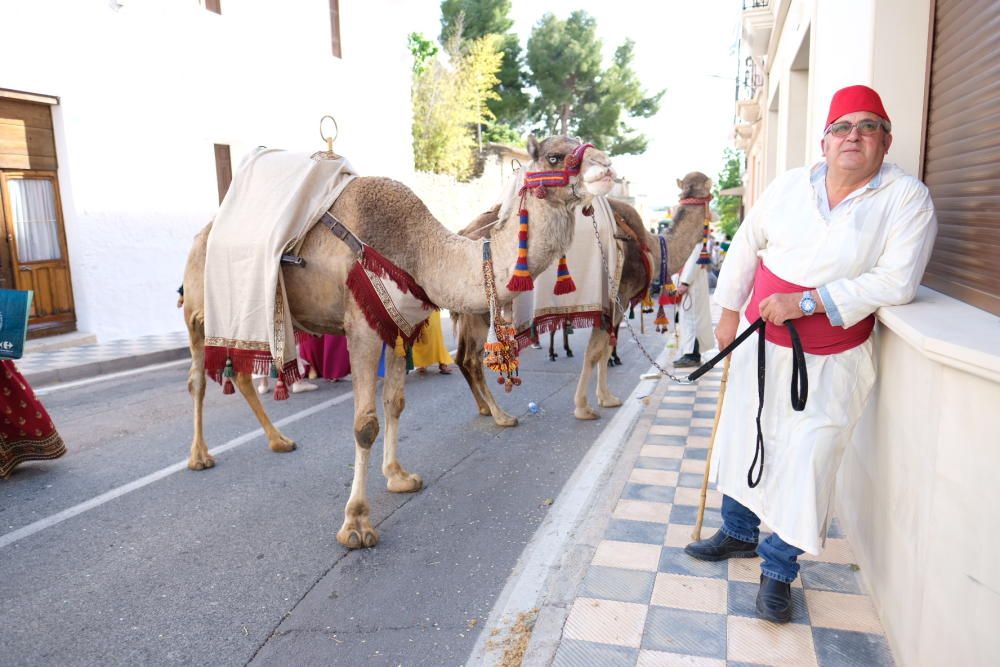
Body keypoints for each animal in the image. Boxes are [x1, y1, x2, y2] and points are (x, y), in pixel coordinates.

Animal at [183, 136, 612, 548]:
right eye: (555, 156)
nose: (606, 167)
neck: (420, 251)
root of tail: (204, 232)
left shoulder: (396, 325)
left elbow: (395, 403)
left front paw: (398, 475)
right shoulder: (361, 325)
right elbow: (365, 423)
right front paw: (356, 524)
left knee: (240, 373)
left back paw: (279, 441)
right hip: (200, 311)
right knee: (198, 379)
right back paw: (199, 456)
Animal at [454, 172, 712, 422]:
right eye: (709, 193)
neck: (650, 247)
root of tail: (464, 233)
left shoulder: (613, 306)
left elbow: (605, 349)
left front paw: (606, 397)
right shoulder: (617, 297)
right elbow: (596, 352)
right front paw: (584, 407)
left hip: (470, 311)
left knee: (462, 358)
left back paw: (484, 408)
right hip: (484, 309)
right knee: (474, 359)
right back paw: (501, 415)